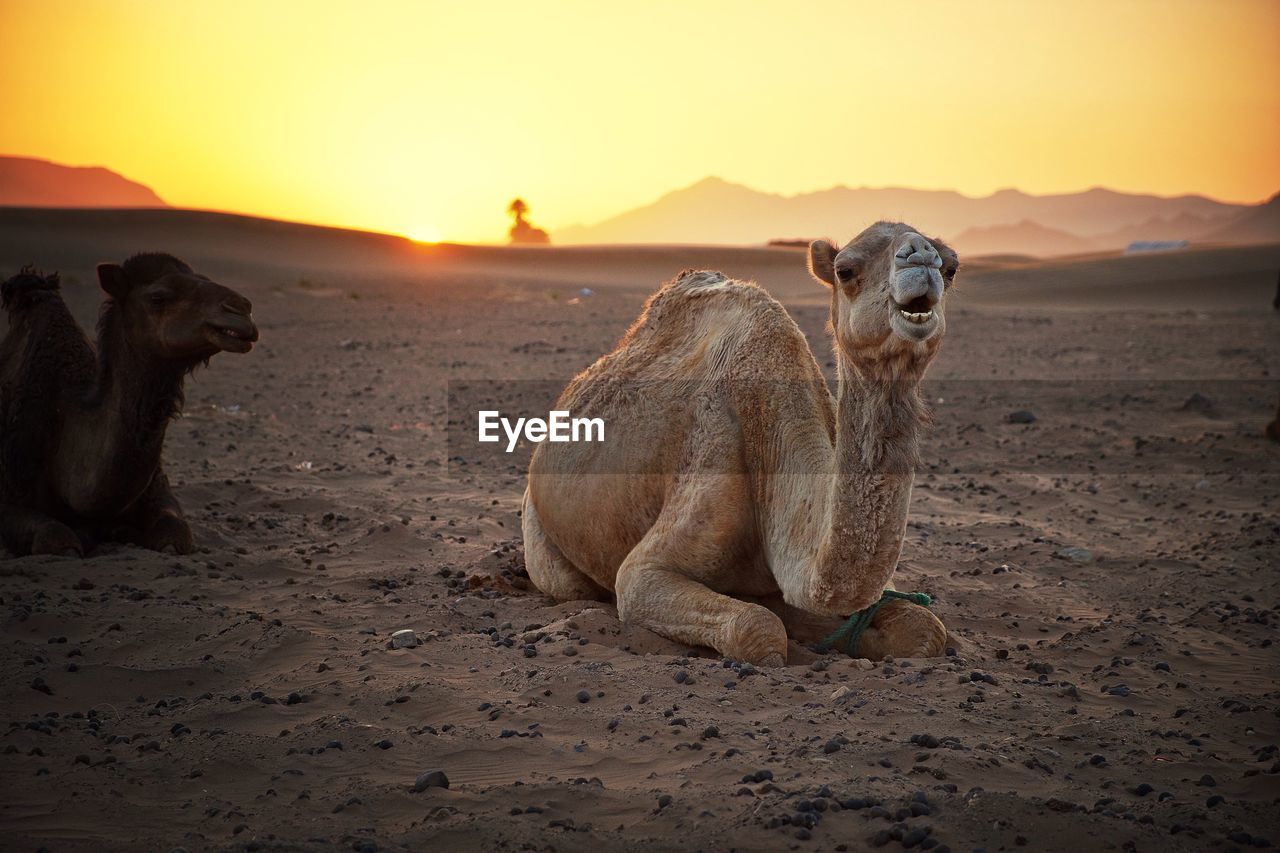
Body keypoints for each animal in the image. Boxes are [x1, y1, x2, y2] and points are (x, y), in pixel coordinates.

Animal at [0, 253, 259, 558]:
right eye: (158, 297)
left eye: (203, 278)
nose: (241, 308)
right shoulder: (11, 490)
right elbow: (57, 538)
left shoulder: (158, 490)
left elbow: (176, 535)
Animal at [524, 219, 957, 666]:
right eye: (845, 270)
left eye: (952, 268)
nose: (922, 257)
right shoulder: (654, 557)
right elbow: (756, 625)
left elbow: (925, 628)